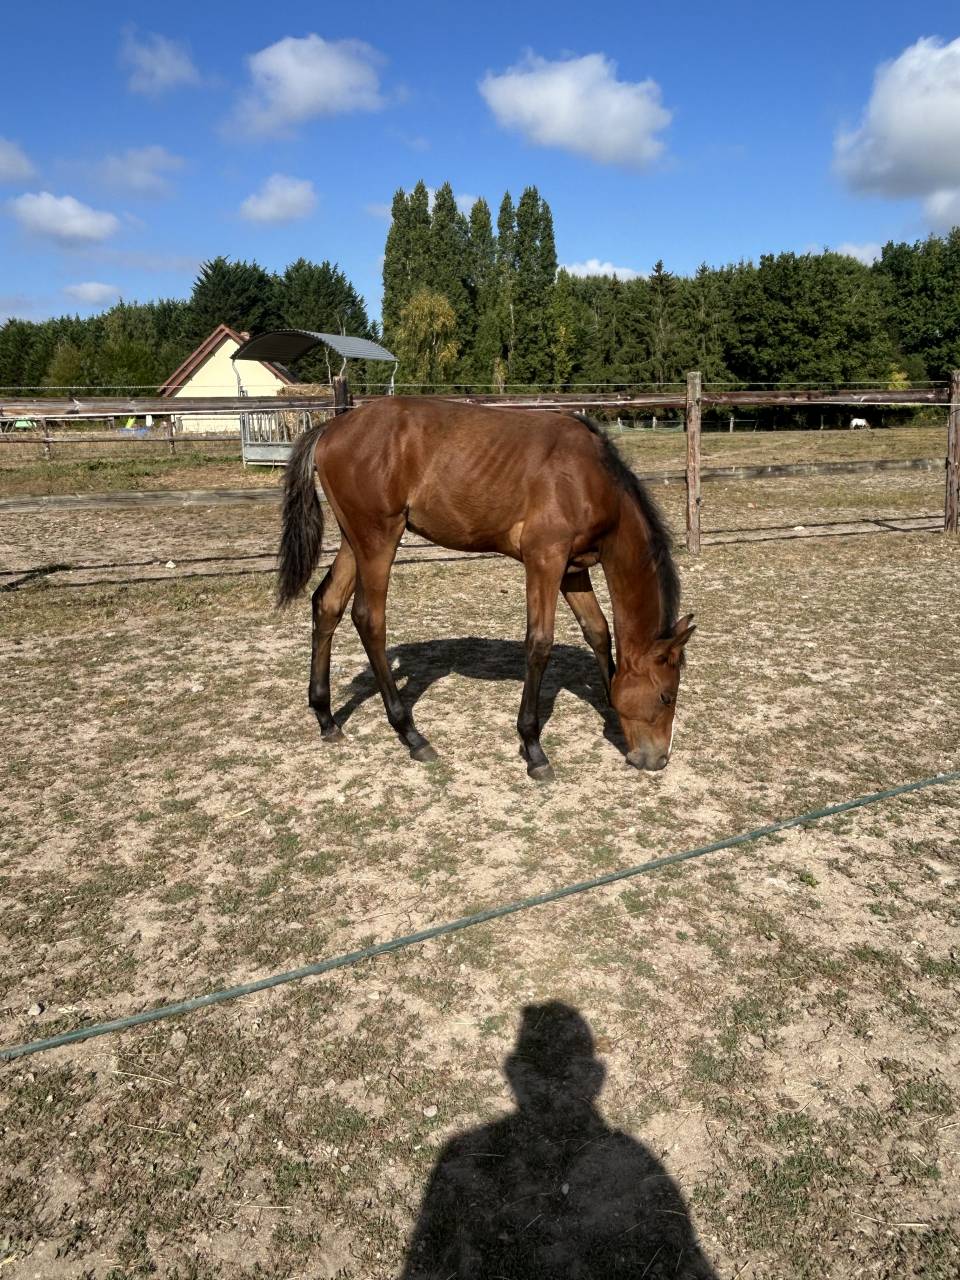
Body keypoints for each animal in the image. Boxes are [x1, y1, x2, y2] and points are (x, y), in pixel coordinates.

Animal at [277, 397, 695, 780]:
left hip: (354, 540)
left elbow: (598, 631)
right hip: (379, 539)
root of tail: (331, 428)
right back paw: (411, 734)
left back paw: (327, 718)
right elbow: (539, 643)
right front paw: (533, 748)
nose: (657, 760)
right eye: (666, 696)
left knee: (327, 604)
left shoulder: (573, 569)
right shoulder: (545, 560)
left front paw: (610, 709)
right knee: (369, 619)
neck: (587, 476)